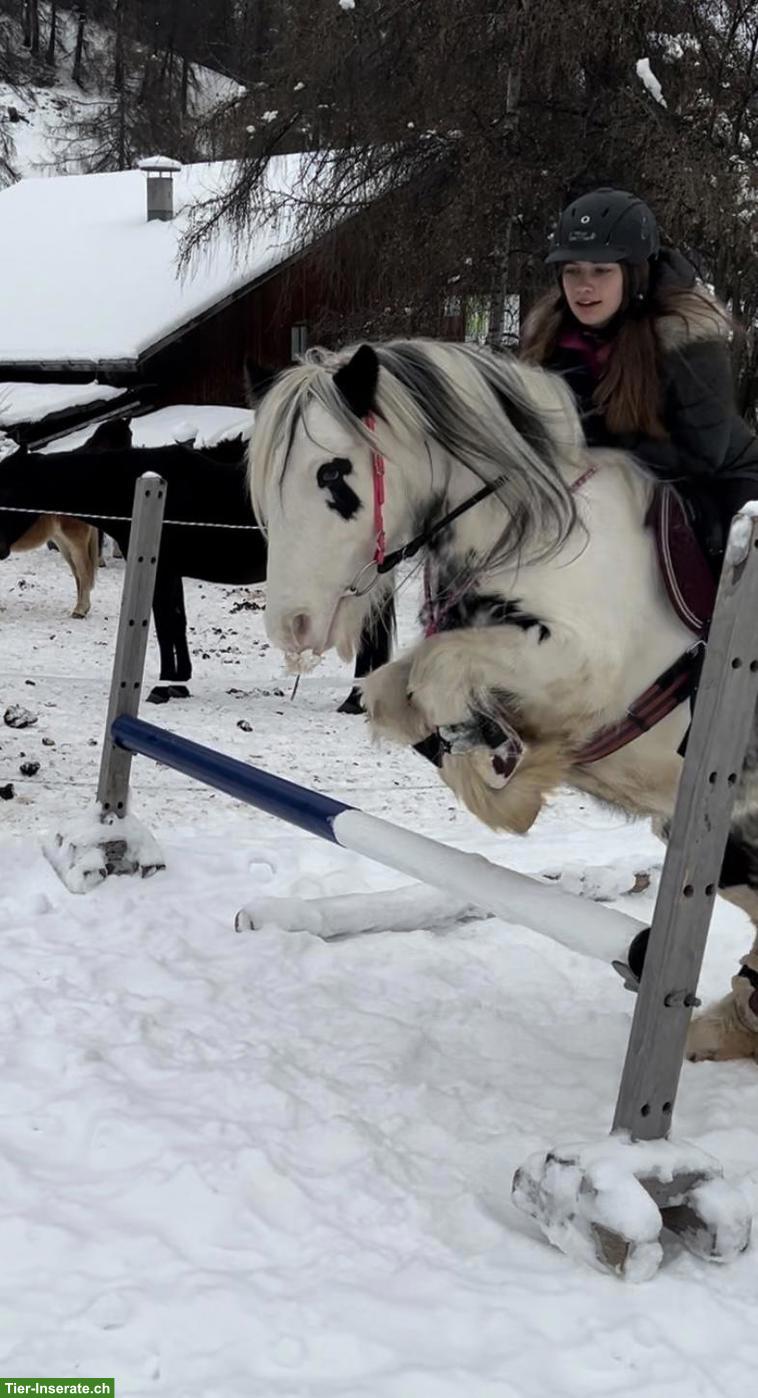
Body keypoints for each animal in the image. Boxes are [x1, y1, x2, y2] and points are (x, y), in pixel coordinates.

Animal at [0, 421, 395, 709]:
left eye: (9, 489)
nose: (0, 549)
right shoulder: (170, 572)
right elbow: (175, 622)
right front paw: (178, 682)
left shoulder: (159, 570)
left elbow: (164, 624)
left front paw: (164, 687)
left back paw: (353, 701)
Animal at [247, 338, 758, 1066]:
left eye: (333, 473)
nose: (291, 626)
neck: (535, 529)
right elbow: (400, 697)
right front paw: (492, 753)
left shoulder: (584, 666)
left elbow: (442, 677)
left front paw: (515, 777)